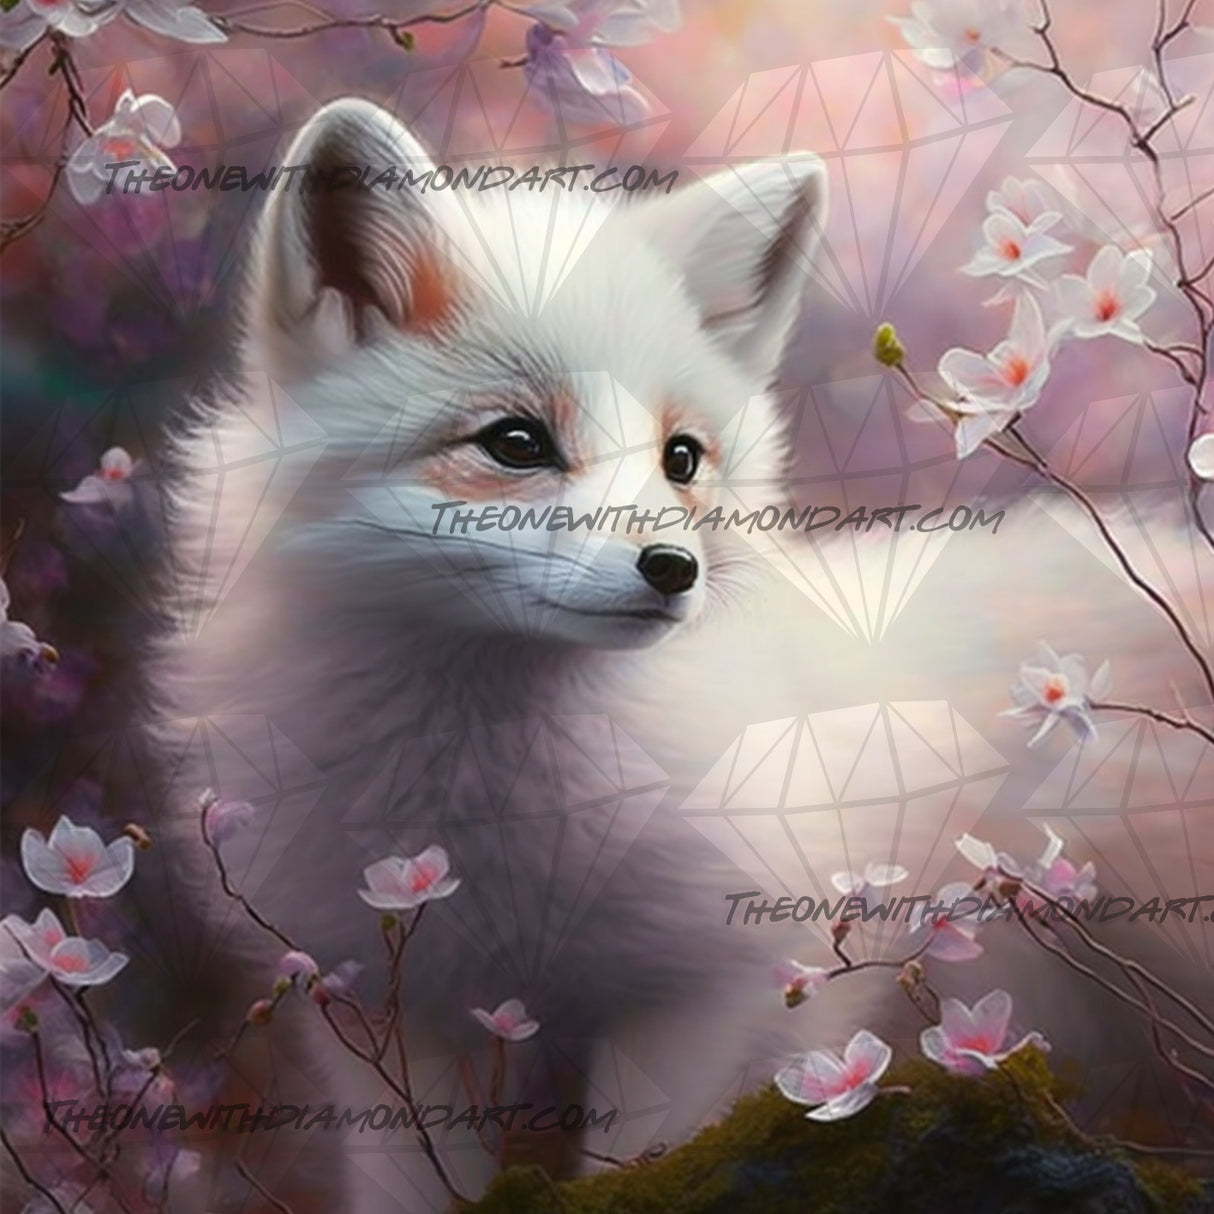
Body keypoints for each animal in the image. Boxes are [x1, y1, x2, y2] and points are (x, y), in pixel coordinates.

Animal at [129, 97, 1211, 1214]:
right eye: (515, 442)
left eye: (680, 457)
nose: (671, 568)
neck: (495, 802)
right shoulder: (404, 1010)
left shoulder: (706, 986)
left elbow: (643, 1162)